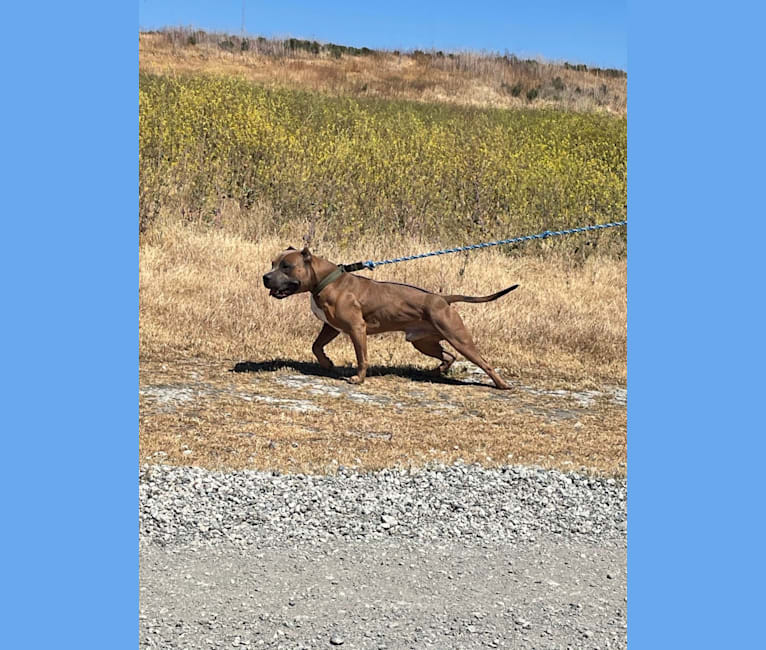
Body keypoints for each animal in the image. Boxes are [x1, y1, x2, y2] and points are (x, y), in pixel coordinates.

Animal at [264, 246, 520, 388]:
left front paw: (358, 379)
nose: (265, 277)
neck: (326, 280)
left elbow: (362, 358)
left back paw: (502, 385)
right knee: (448, 356)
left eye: (286, 266)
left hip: (458, 337)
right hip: (423, 341)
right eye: (273, 264)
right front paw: (327, 363)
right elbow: (316, 346)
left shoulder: (357, 329)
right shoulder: (331, 327)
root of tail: (442, 299)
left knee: (483, 362)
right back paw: (437, 371)